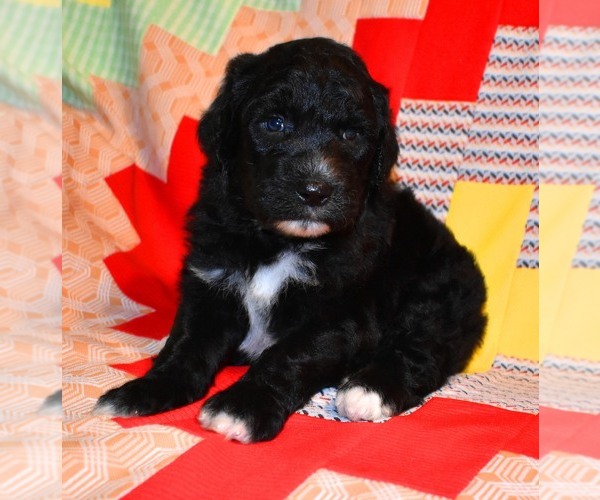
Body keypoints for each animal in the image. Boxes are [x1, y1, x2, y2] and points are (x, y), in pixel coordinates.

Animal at [95, 39, 488, 444]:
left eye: (351, 135)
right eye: (274, 124)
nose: (315, 190)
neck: (278, 241)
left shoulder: (338, 313)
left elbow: (289, 356)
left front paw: (243, 407)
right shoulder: (211, 283)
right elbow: (187, 342)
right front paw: (147, 390)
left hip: (438, 292)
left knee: (423, 348)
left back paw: (368, 390)